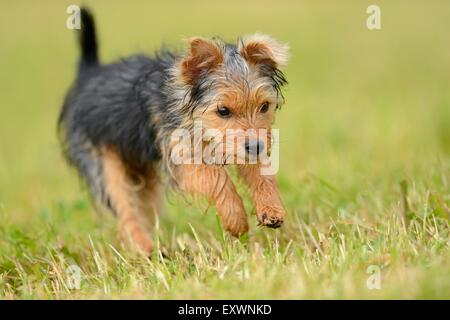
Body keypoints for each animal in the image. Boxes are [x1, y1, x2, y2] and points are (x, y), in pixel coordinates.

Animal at [59, 7, 288, 254]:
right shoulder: (182, 155)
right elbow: (217, 178)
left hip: (142, 172)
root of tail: (89, 74)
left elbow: (262, 174)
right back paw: (143, 246)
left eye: (264, 106)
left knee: (143, 206)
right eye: (223, 111)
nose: (256, 146)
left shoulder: (244, 144)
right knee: (125, 208)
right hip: (103, 163)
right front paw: (235, 219)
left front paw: (271, 208)